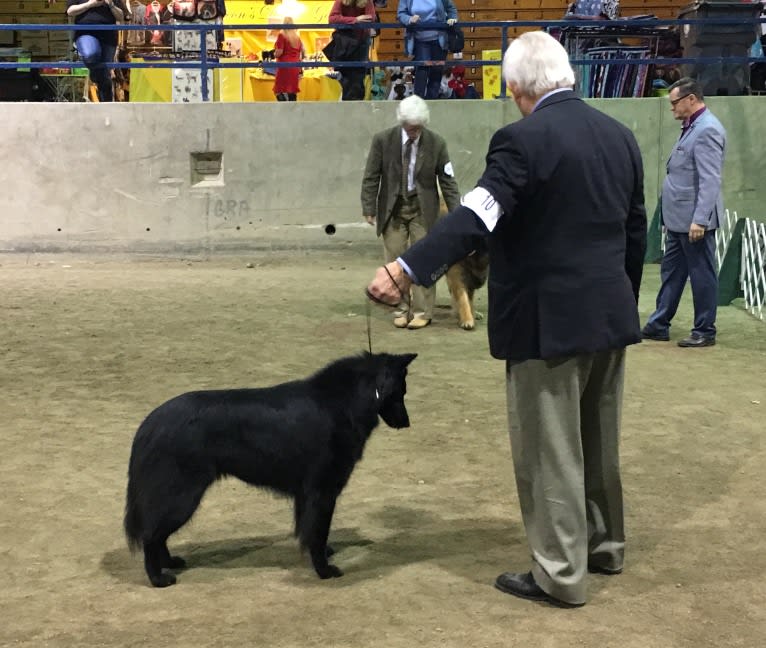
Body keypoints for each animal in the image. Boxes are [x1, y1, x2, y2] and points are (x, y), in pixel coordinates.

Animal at [123, 354, 416, 588]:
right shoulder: (322, 491)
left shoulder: (306, 494)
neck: (342, 402)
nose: (407, 423)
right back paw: (158, 578)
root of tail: (149, 424)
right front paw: (323, 570)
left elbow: (310, 531)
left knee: (158, 535)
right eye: (401, 391)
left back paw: (169, 562)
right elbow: (318, 531)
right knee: (151, 535)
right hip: (182, 496)